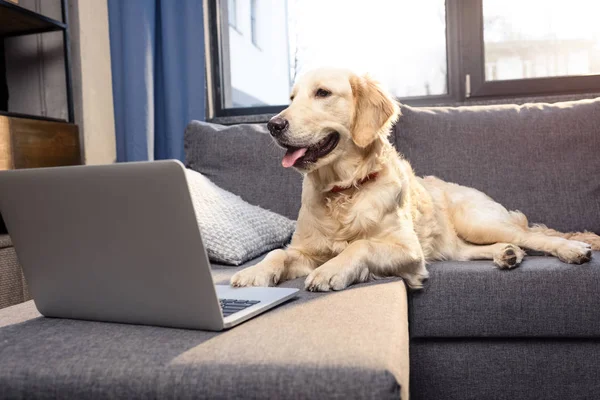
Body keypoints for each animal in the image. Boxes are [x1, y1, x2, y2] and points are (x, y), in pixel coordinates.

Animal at [230, 68, 600, 290]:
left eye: (322, 93)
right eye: (291, 99)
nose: (273, 125)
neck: (343, 190)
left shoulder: (408, 249)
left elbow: (362, 244)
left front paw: (332, 270)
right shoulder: (306, 249)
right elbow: (277, 255)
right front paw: (253, 272)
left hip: (479, 221)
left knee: (534, 236)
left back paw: (571, 249)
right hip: (454, 243)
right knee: (475, 250)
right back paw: (507, 254)